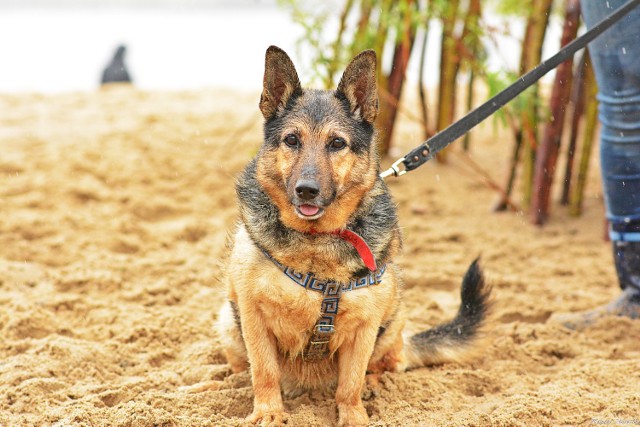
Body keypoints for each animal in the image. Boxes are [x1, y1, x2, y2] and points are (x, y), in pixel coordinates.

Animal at [215, 46, 490, 427]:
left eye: (336, 143)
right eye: (292, 140)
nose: (306, 191)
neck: (315, 242)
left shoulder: (365, 327)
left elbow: (350, 383)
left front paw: (354, 414)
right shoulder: (253, 316)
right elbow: (265, 372)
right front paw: (269, 411)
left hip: (393, 322)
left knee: (387, 365)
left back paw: (376, 384)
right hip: (228, 321)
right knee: (244, 368)